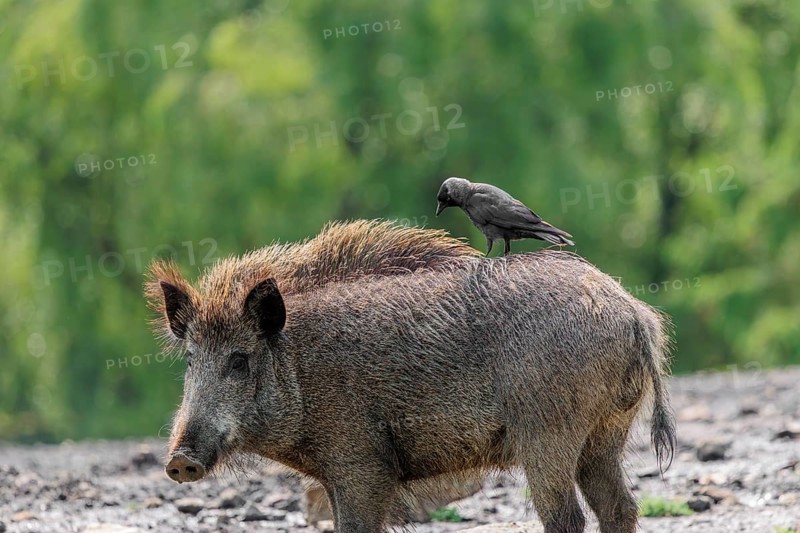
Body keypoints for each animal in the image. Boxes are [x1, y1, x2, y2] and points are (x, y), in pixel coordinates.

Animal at [145, 220, 676, 533]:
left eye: (239, 359)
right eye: (190, 359)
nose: (178, 461)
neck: (300, 367)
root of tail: (633, 313)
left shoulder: (361, 463)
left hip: (548, 431)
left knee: (567, 517)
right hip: (605, 431)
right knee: (619, 507)